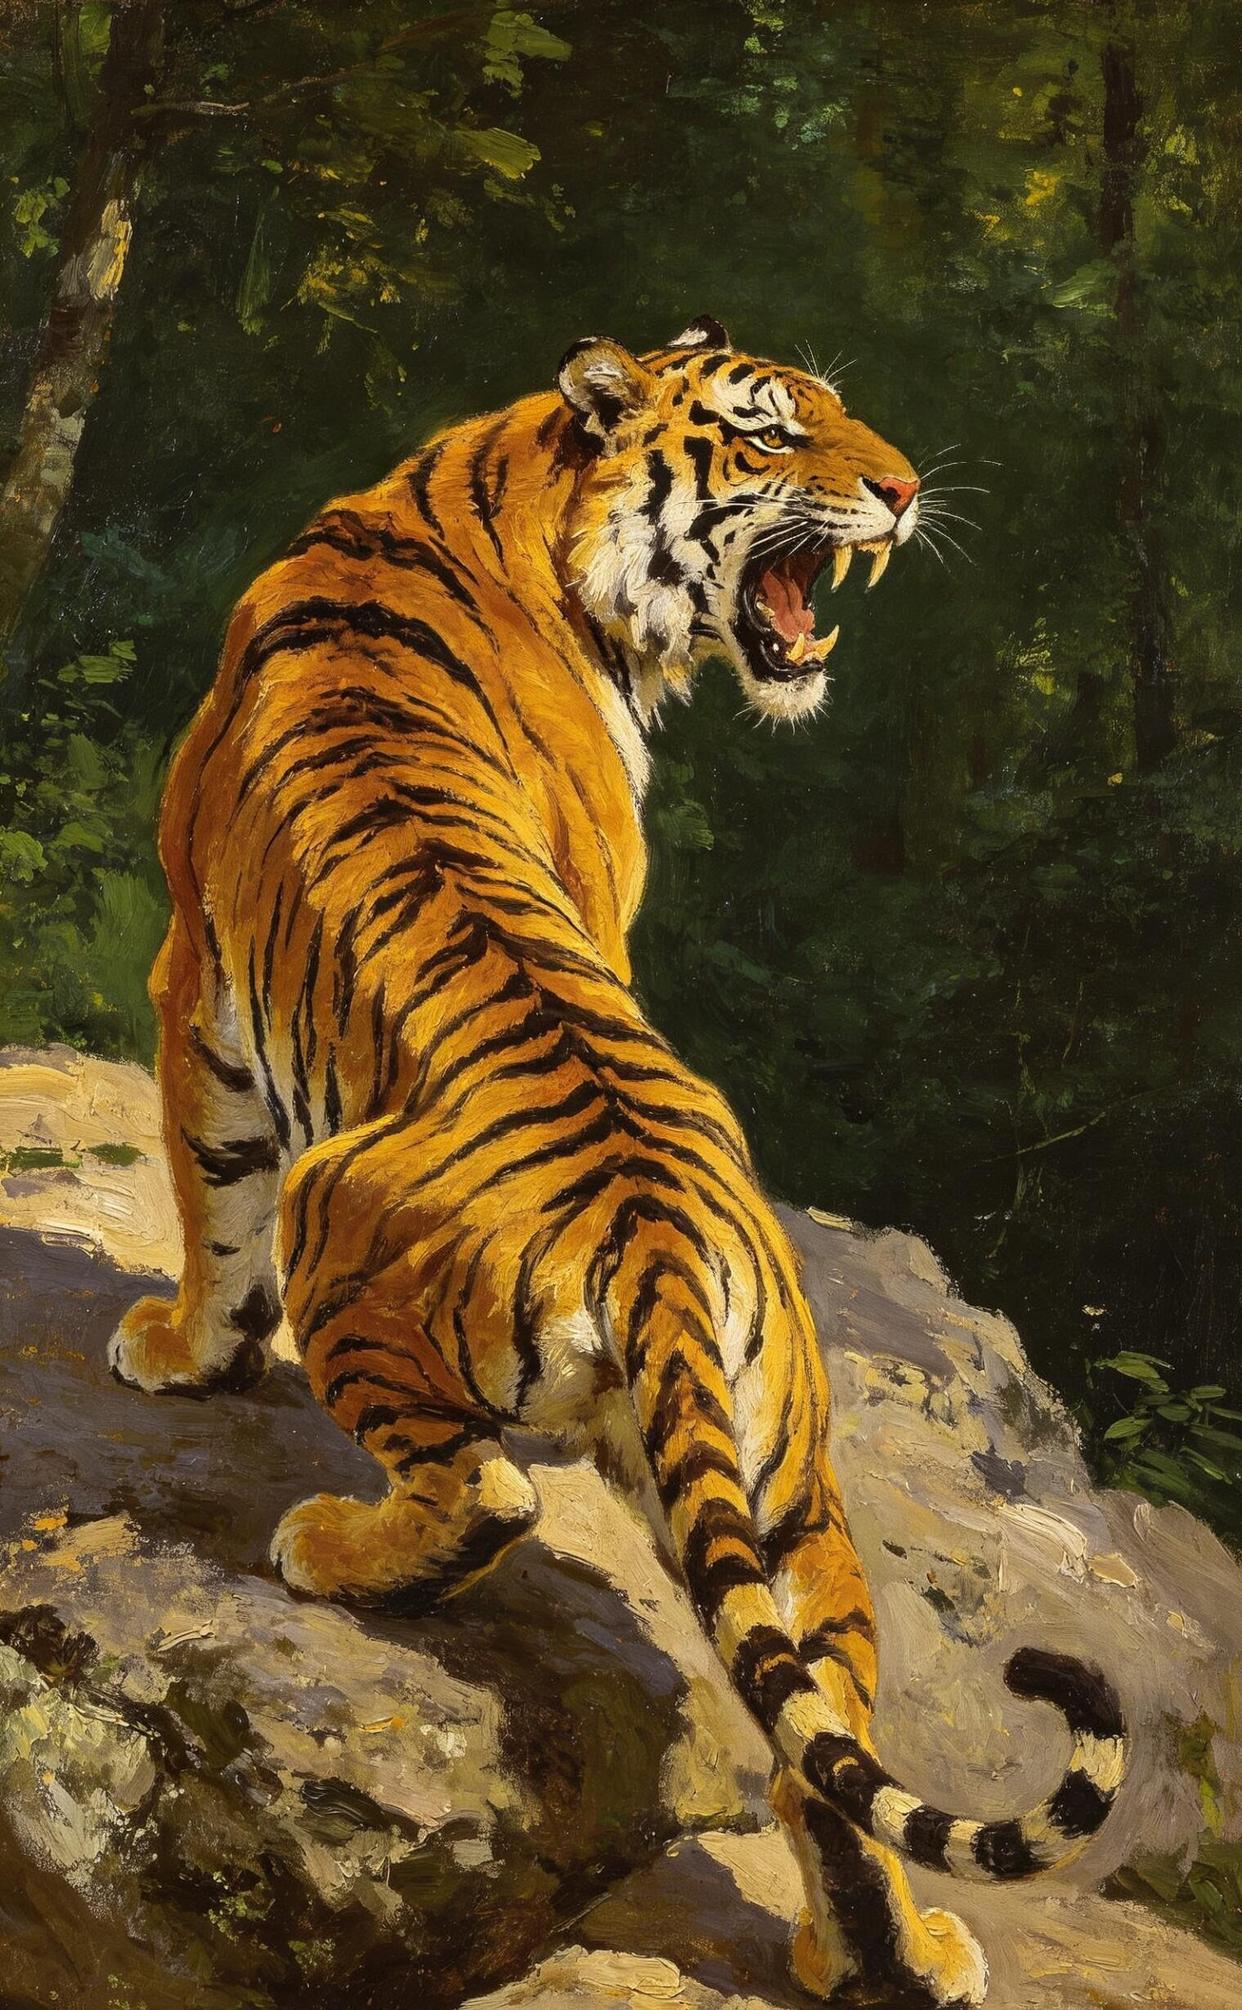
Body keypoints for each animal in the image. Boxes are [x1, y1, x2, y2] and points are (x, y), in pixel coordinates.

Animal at [109, 315, 1125, 2007]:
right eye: (774, 432)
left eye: (844, 414)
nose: (905, 490)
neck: (486, 495)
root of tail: (651, 1234)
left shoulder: (199, 973)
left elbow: (212, 1193)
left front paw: (179, 1350)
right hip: (788, 1480)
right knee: (813, 1743)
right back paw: (893, 1953)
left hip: (351, 1239)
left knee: (486, 1489)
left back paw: (325, 1545)